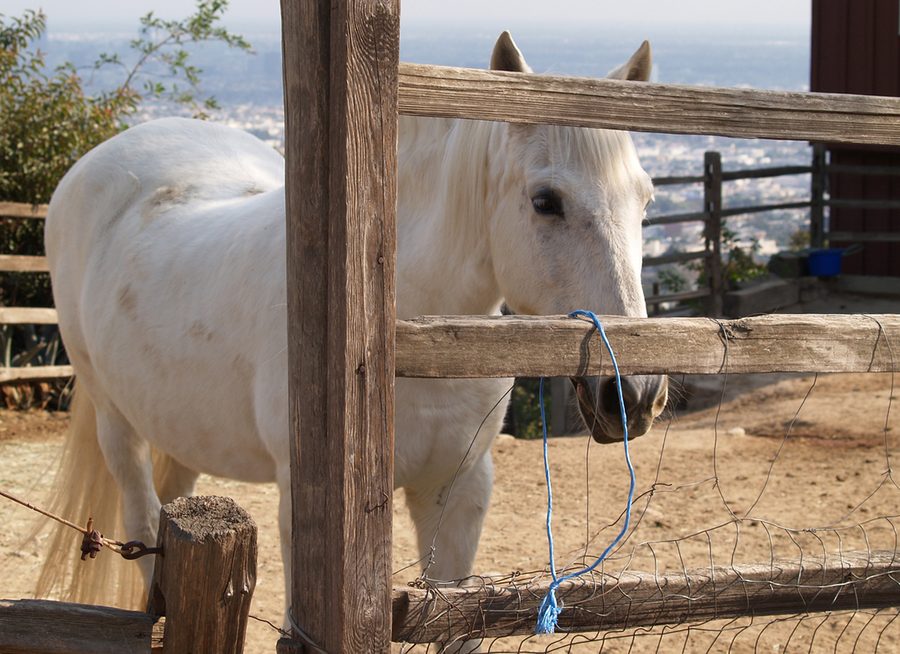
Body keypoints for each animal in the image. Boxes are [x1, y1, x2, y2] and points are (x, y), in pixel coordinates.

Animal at [37, 31, 668, 619]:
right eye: (545, 200)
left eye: (646, 201)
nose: (635, 394)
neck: (417, 339)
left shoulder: (458, 492)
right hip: (114, 421)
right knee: (143, 523)